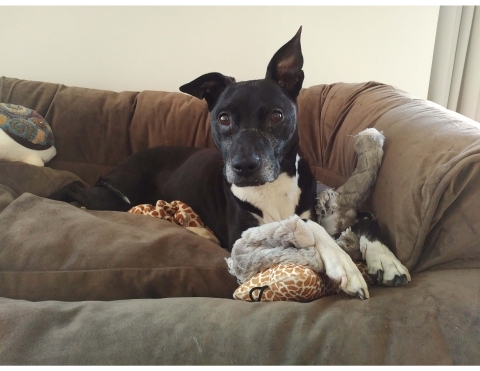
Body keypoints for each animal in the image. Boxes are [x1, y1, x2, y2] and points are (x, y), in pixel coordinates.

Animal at [49, 26, 408, 300]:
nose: (243, 166)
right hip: (115, 196)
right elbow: (304, 226)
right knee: (76, 192)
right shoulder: (243, 234)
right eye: (223, 118)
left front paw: (385, 260)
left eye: (276, 115)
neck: (271, 186)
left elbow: (362, 217)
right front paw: (345, 266)